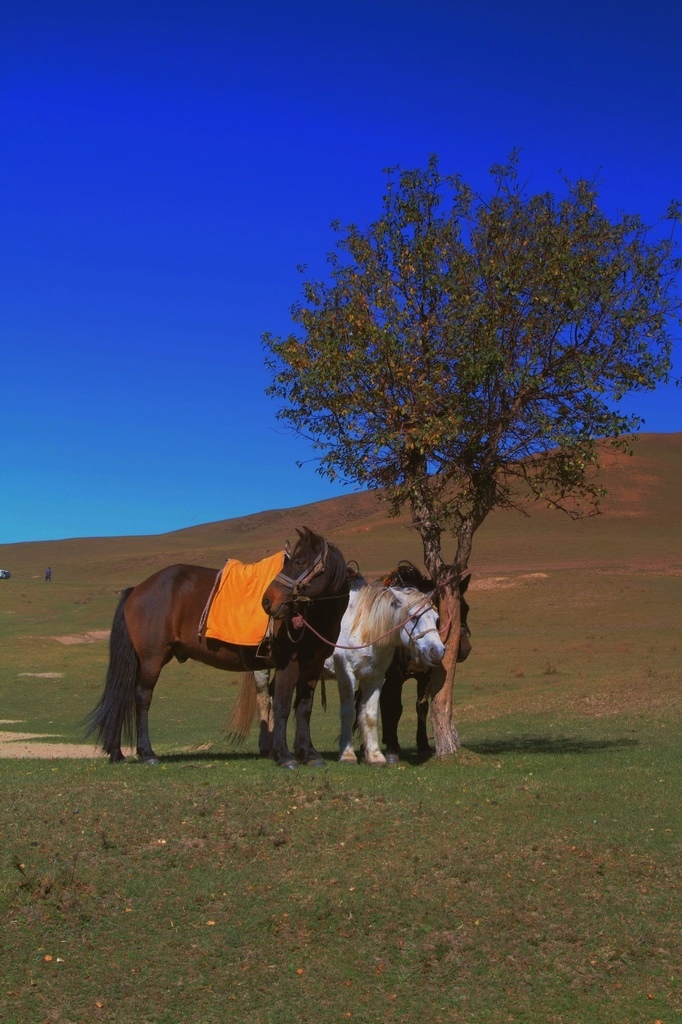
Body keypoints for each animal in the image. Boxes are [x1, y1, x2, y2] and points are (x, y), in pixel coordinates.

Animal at [85, 528, 348, 770]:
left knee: (124, 696)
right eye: (294, 561)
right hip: (152, 659)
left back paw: (117, 752)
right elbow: (282, 706)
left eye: (301, 562)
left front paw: (309, 754)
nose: (267, 601)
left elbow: (304, 708)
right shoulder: (288, 664)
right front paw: (284, 756)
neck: (315, 614)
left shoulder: (312, 666)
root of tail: (137, 589)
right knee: (141, 698)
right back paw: (147, 753)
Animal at [325, 581, 444, 765]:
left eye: (436, 619)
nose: (437, 651)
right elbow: (349, 713)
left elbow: (370, 715)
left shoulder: (375, 677)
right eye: (414, 617)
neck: (362, 627)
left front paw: (375, 757)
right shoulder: (347, 676)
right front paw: (347, 755)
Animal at [378, 561, 471, 761]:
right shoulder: (395, 676)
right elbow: (395, 707)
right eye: (444, 614)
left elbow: (421, 707)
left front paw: (423, 745)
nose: (464, 649)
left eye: (466, 608)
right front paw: (392, 751)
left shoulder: (425, 676)